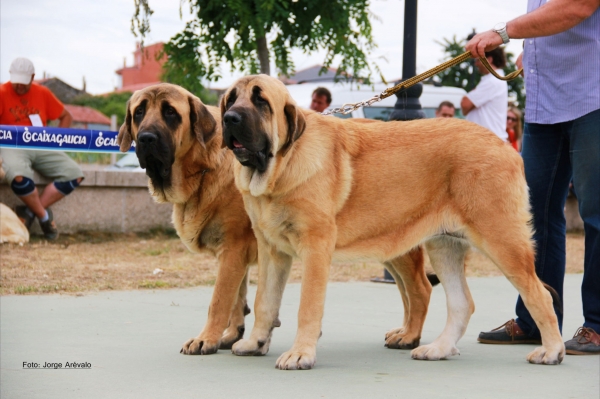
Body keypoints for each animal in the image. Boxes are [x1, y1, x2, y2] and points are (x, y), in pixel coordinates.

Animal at [219, 76, 564, 372]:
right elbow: (265, 301)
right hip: (444, 246)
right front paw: (255, 342)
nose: (230, 119)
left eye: (261, 101)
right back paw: (438, 348)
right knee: (462, 303)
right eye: (231, 99)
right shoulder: (272, 251)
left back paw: (551, 351)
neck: (281, 165)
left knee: (539, 294)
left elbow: (308, 306)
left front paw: (301, 353)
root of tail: (506, 146)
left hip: (502, 241)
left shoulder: (315, 248)